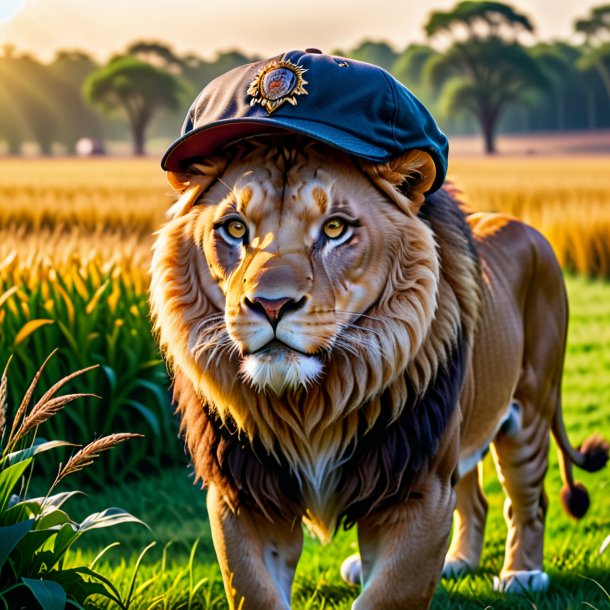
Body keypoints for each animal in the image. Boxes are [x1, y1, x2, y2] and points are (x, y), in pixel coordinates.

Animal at [148, 134, 608, 608]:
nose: (271, 305)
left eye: (335, 229)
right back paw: (459, 563)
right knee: (475, 498)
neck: (309, 405)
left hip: (530, 408)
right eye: (236, 229)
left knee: (528, 498)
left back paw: (522, 573)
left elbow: (389, 592)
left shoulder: (420, 485)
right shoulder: (243, 492)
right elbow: (254, 591)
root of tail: (528, 228)